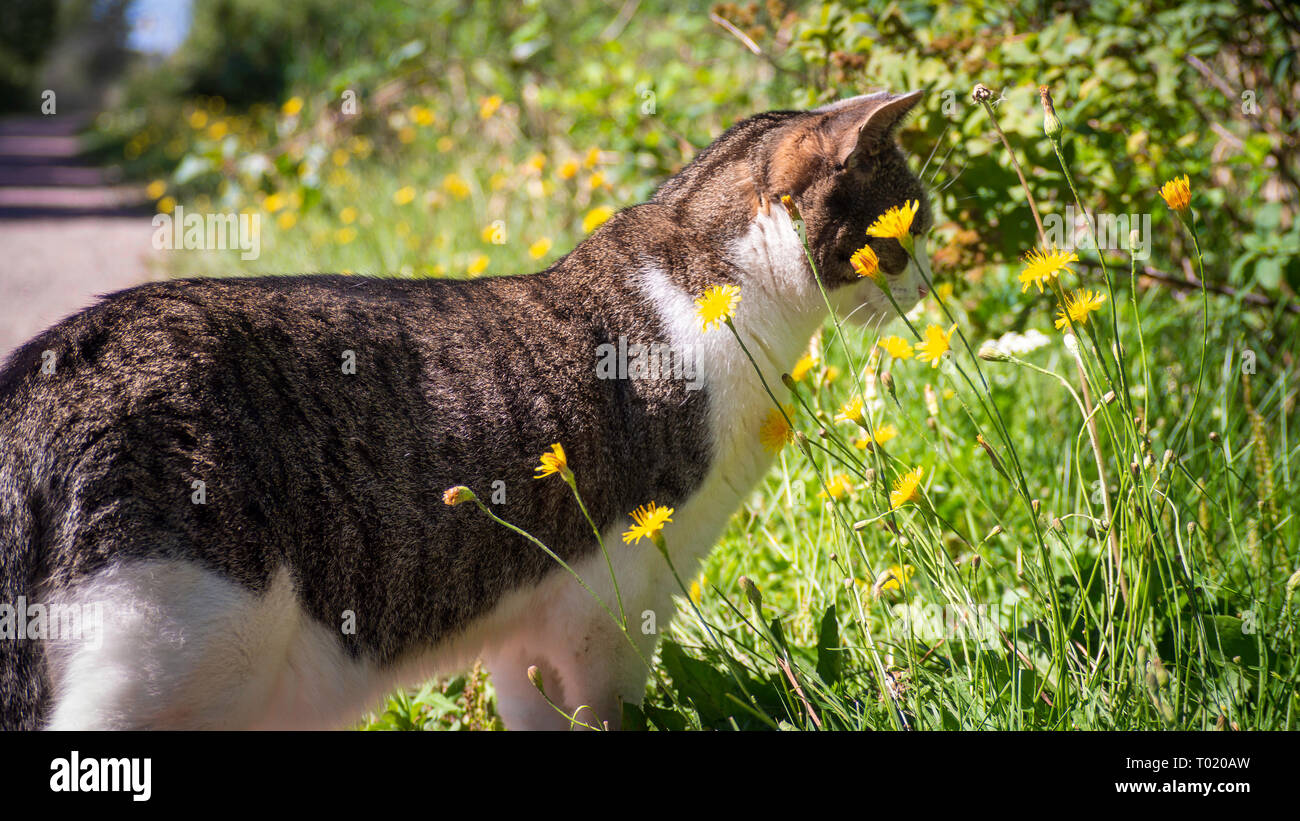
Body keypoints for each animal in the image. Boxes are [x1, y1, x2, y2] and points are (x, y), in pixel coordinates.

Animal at [0, 91, 935, 732]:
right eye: (908, 226)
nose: (930, 281)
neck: (710, 281)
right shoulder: (614, 603)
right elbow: (609, 710)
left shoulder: (527, 629)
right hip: (174, 649)